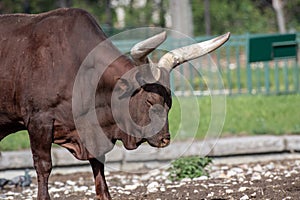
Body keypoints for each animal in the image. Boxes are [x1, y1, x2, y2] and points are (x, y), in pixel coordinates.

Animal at [0, 7, 230, 200]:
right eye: (149, 100)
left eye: (170, 103)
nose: (164, 139)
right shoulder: (39, 120)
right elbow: (44, 166)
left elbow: (99, 168)